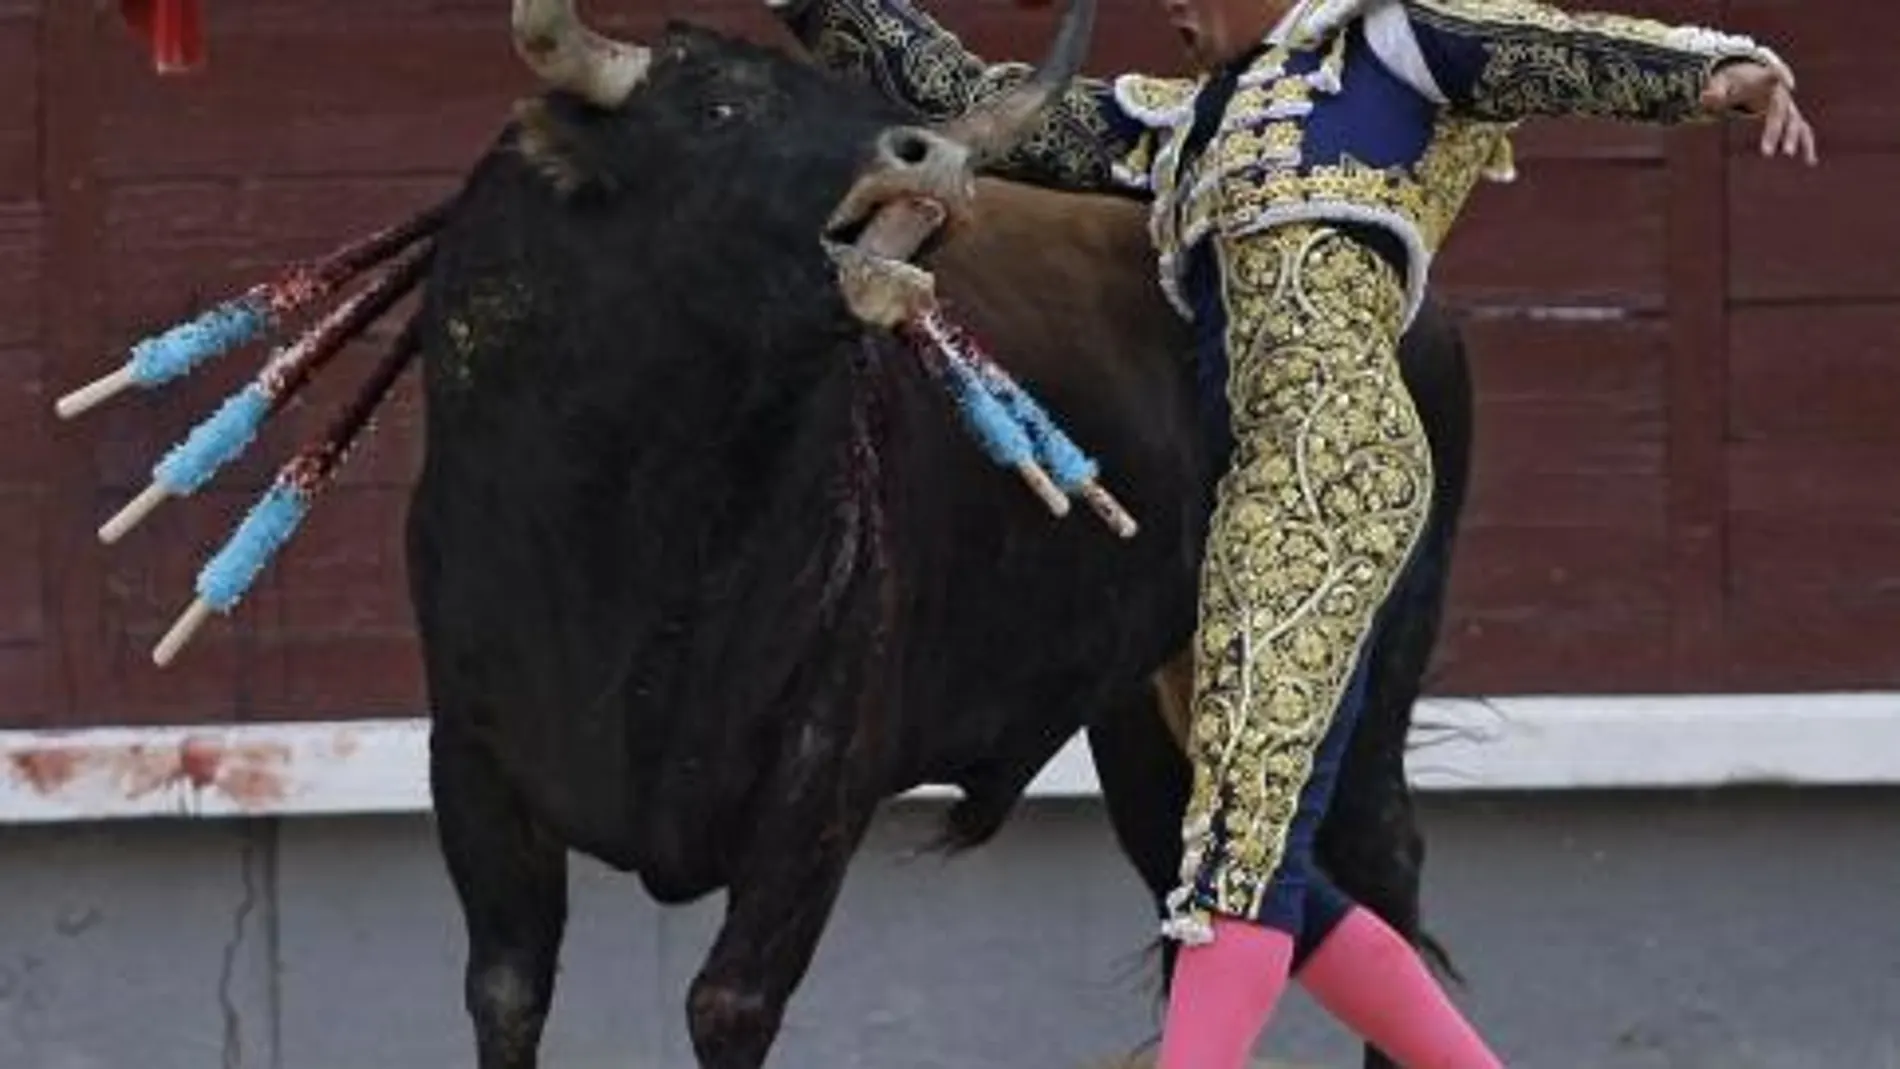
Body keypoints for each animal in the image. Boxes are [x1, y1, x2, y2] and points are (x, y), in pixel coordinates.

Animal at [397, 18, 1466, 1069]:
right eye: (717, 109)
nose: (936, 158)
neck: (646, 521)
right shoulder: (474, 764)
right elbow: (508, 995)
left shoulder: (820, 776)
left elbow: (727, 1005)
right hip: (1147, 706)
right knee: (1207, 878)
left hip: (1362, 673)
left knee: (1359, 869)